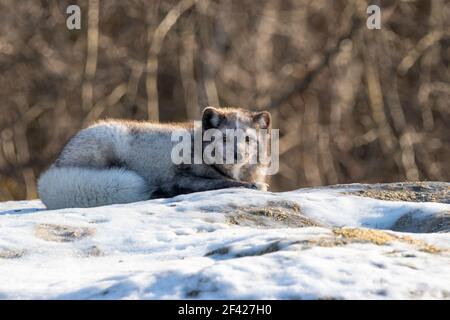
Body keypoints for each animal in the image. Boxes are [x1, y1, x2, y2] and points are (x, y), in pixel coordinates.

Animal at [37, 106, 270, 209]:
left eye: (247, 139)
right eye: (223, 138)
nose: (237, 154)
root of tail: (55, 167)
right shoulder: (181, 178)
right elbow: (223, 182)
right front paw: (254, 186)